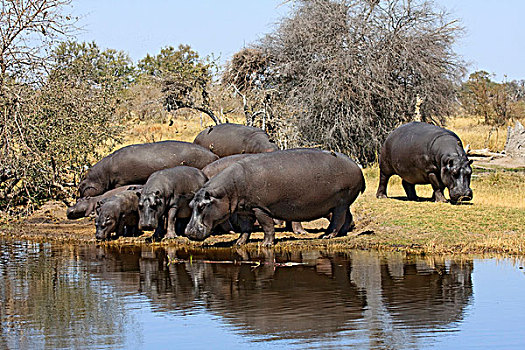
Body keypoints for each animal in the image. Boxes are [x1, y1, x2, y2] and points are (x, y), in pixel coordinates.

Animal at [184, 148, 364, 246]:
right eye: (191, 204)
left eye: (202, 206)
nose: (188, 232)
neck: (227, 190)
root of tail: (357, 167)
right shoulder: (244, 211)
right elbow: (245, 229)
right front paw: (238, 243)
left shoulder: (260, 208)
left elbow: (267, 226)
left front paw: (266, 245)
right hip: (343, 203)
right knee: (347, 217)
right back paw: (343, 233)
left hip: (340, 202)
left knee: (337, 219)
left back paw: (327, 236)